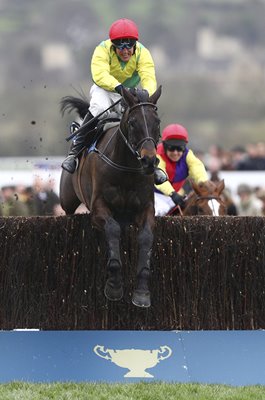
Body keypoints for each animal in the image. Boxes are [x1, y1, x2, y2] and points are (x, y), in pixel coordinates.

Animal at [59, 86, 161, 306]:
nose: (149, 161)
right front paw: (114, 285)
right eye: (133, 122)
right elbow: (113, 229)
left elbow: (146, 237)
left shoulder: (146, 208)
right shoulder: (98, 208)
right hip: (67, 200)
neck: (126, 169)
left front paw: (141, 291)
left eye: (157, 122)